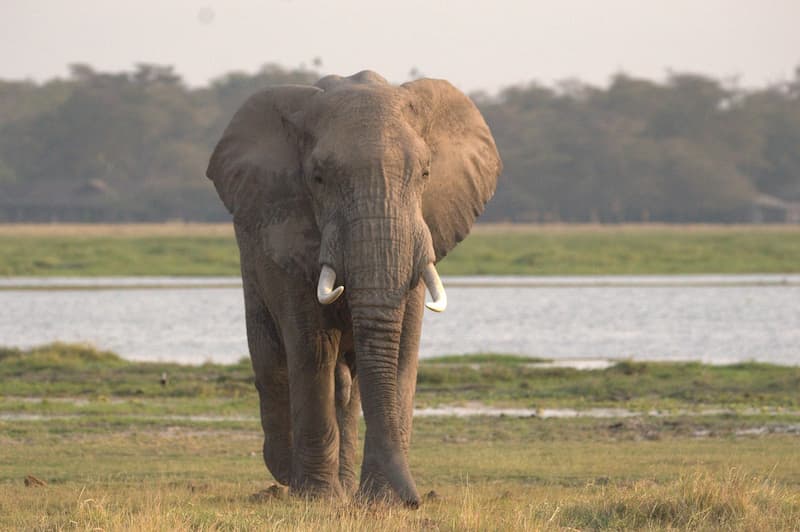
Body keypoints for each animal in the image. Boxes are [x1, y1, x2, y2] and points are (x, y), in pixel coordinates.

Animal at [206, 70, 501, 507]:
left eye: (426, 174)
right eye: (318, 178)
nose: (417, 500)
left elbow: (402, 347)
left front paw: (382, 500)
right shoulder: (289, 232)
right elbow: (311, 347)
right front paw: (318, 498)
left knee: (347, 383)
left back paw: (340, 485)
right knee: (275, 363)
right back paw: (289, 475)